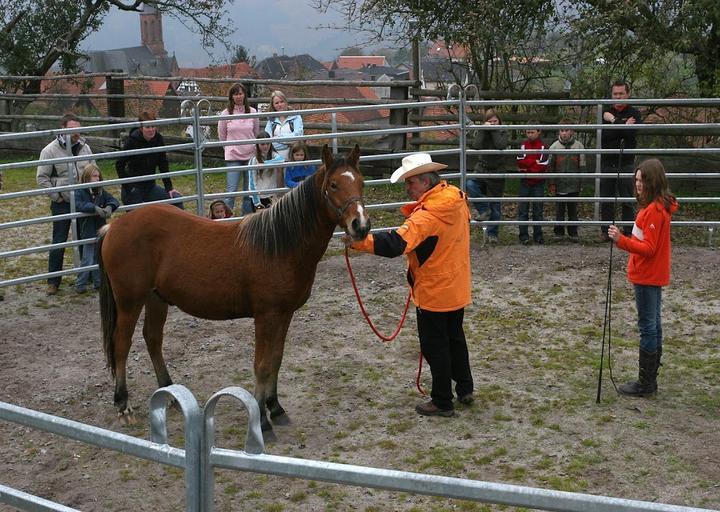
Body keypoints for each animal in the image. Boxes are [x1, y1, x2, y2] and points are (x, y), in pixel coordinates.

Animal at [98, 144, 368, 436]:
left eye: (361, 182)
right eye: (333, 185)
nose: (361, 225)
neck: (279, 245)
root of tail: (114, 226)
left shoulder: (285, 315)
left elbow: (276, 360)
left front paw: (276, 408)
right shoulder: (266, 317)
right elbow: (262, 366)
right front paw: (262, 420)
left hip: (156, 298)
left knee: (152, 338)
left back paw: (168, 392)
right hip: (130, 301)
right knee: (122, 344)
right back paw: (123, 406)